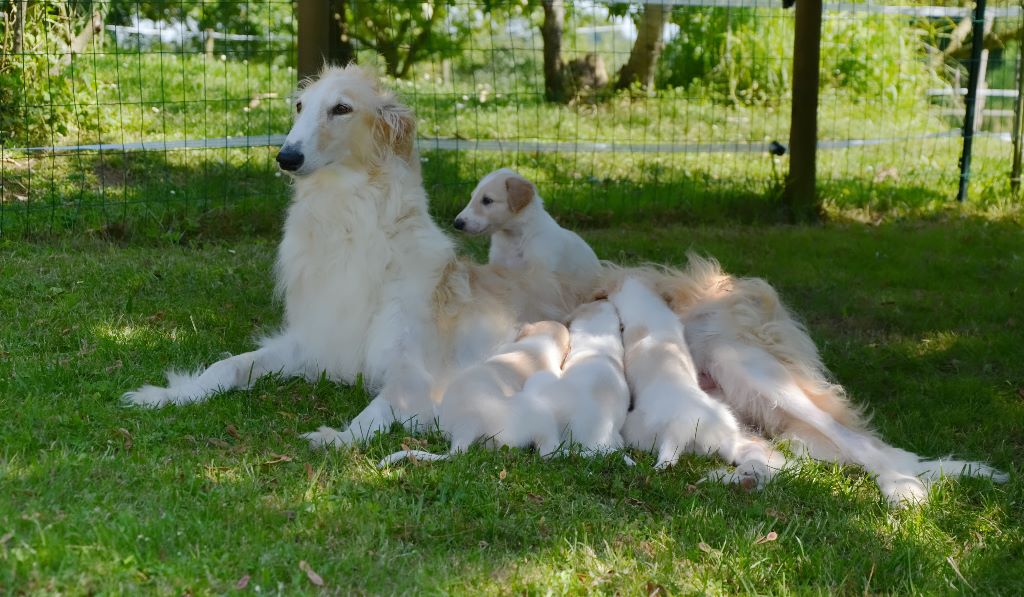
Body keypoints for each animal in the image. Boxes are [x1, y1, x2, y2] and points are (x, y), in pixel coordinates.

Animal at [123, 66, 573, 448]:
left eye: (342, 108)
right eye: (299, 105)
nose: (286, 157)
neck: (346, 229)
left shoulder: (412, 371)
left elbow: (376, 412)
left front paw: (335, 437)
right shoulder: (312, 341)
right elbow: (227, 365)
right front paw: (168, 394)